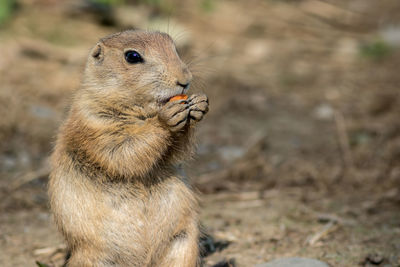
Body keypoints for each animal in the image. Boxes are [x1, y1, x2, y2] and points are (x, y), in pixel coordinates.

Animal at [48, 30, 208, 266]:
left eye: (174, 47)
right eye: (132, 56)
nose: (185, 80)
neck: (142, 111)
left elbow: (175, 153)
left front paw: (199, 104)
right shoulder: (94, 123)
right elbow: (123, 152)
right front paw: (166, 119)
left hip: (183, 242)